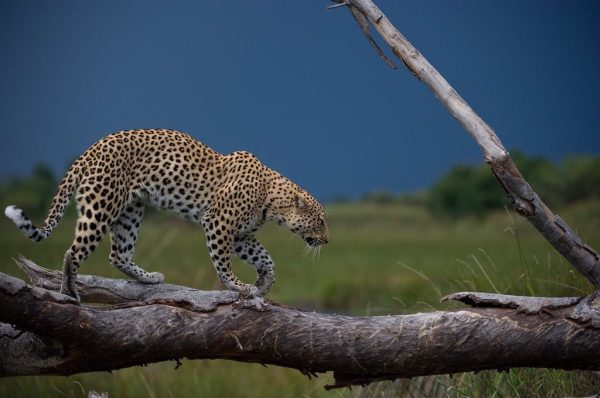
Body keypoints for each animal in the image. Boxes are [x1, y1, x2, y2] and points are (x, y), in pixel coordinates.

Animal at [3, 129, 328, 300]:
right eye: (321, 221)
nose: (327, 241)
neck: (271, 201)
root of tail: (94, 146)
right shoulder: (218, 222)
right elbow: (223, 262)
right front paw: (238, 285)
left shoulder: (240, 236)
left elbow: (266, 259)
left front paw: (264, 283)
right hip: (101, 207)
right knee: (73, 252)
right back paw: (69, 291)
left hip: (131, 210)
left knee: (117, 254)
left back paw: (149, 279)